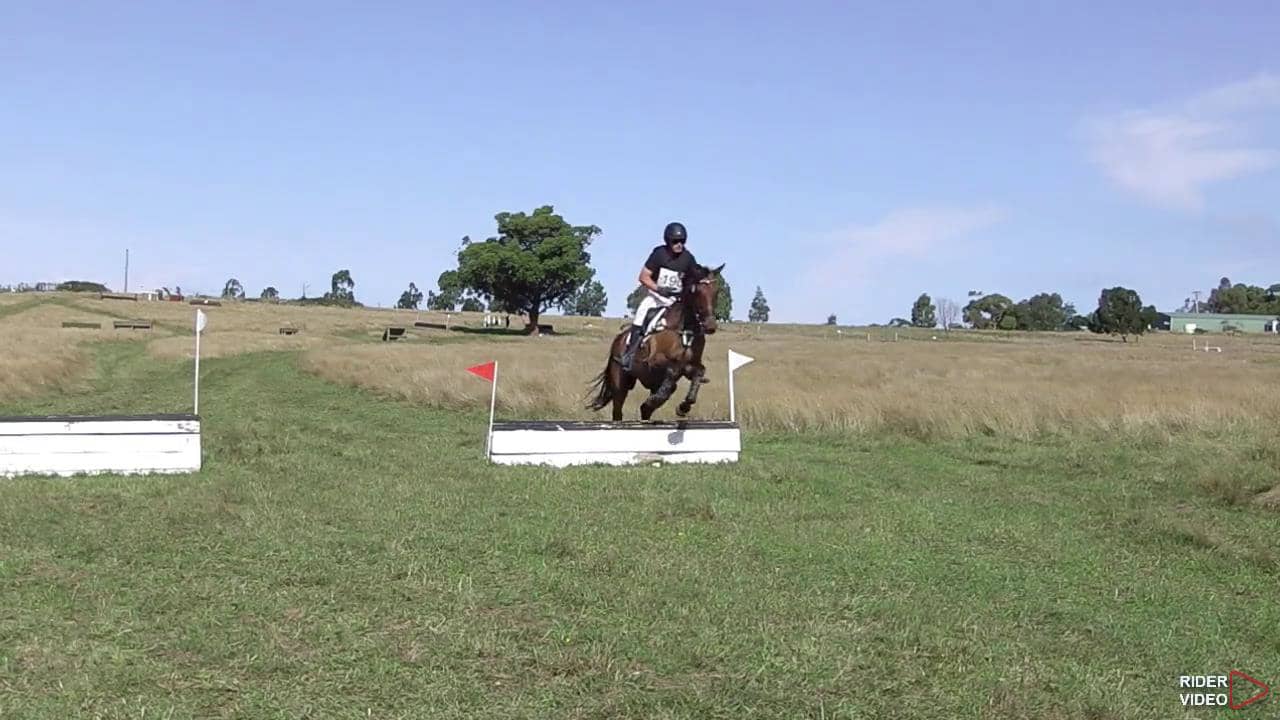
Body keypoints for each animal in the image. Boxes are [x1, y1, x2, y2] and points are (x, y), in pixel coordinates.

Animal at [587, 264, 724, 422]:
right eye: (695, 291)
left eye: (716, 291)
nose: (710, 326)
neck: (684, 329)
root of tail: (618, 339)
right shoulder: (654, 362)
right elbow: (672, 370)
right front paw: (661, 399)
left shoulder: (690, 366)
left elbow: (698, 372)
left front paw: (683, 407)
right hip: (620, 383)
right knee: (618, 410)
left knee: (648, 407)